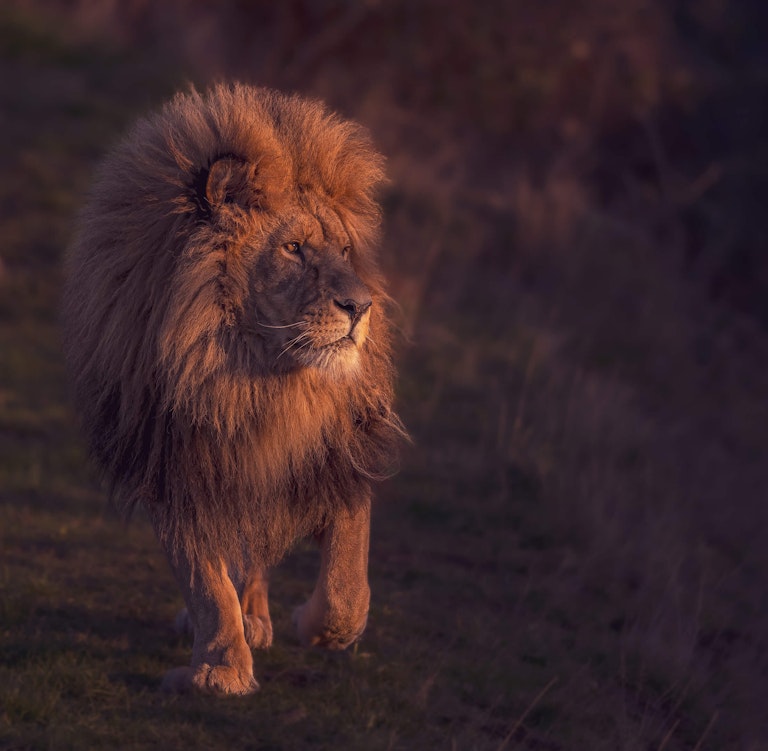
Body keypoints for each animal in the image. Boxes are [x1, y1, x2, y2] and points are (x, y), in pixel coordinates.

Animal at [61, 83, 402, 700]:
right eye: (293, 248)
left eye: (344, 251)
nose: (361, 306)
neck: (255, 382)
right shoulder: (176, 462)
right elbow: (203, 575)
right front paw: (221, 667)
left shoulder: (339, 450)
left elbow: (347, 576)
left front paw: (318, 628)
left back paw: (260, 617)